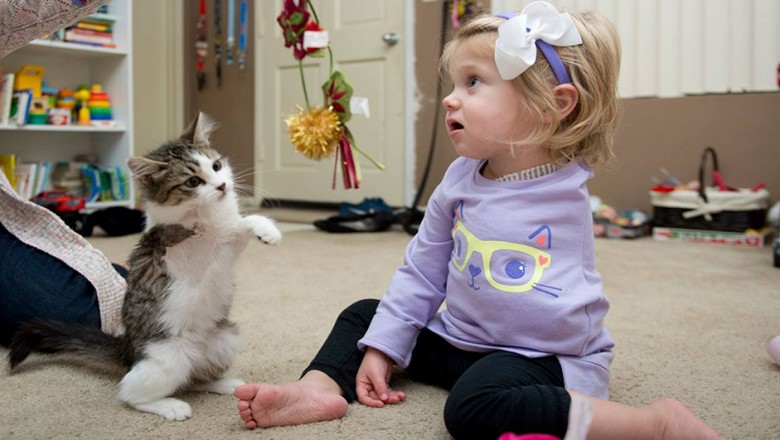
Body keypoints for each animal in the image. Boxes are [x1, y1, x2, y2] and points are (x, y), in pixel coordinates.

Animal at [7, 111, 282, 422]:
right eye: (193, 182)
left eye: (216, 166)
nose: (222, 186)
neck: (207, 215)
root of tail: (127, 350)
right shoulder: (178, 248)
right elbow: (211, 234)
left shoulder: (226, 248)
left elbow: (239, 226)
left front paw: (266, 230)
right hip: (168, 357)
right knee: (131, 393)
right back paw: (171, 406)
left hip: (225, 339)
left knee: (195, 378)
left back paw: (223, 383)